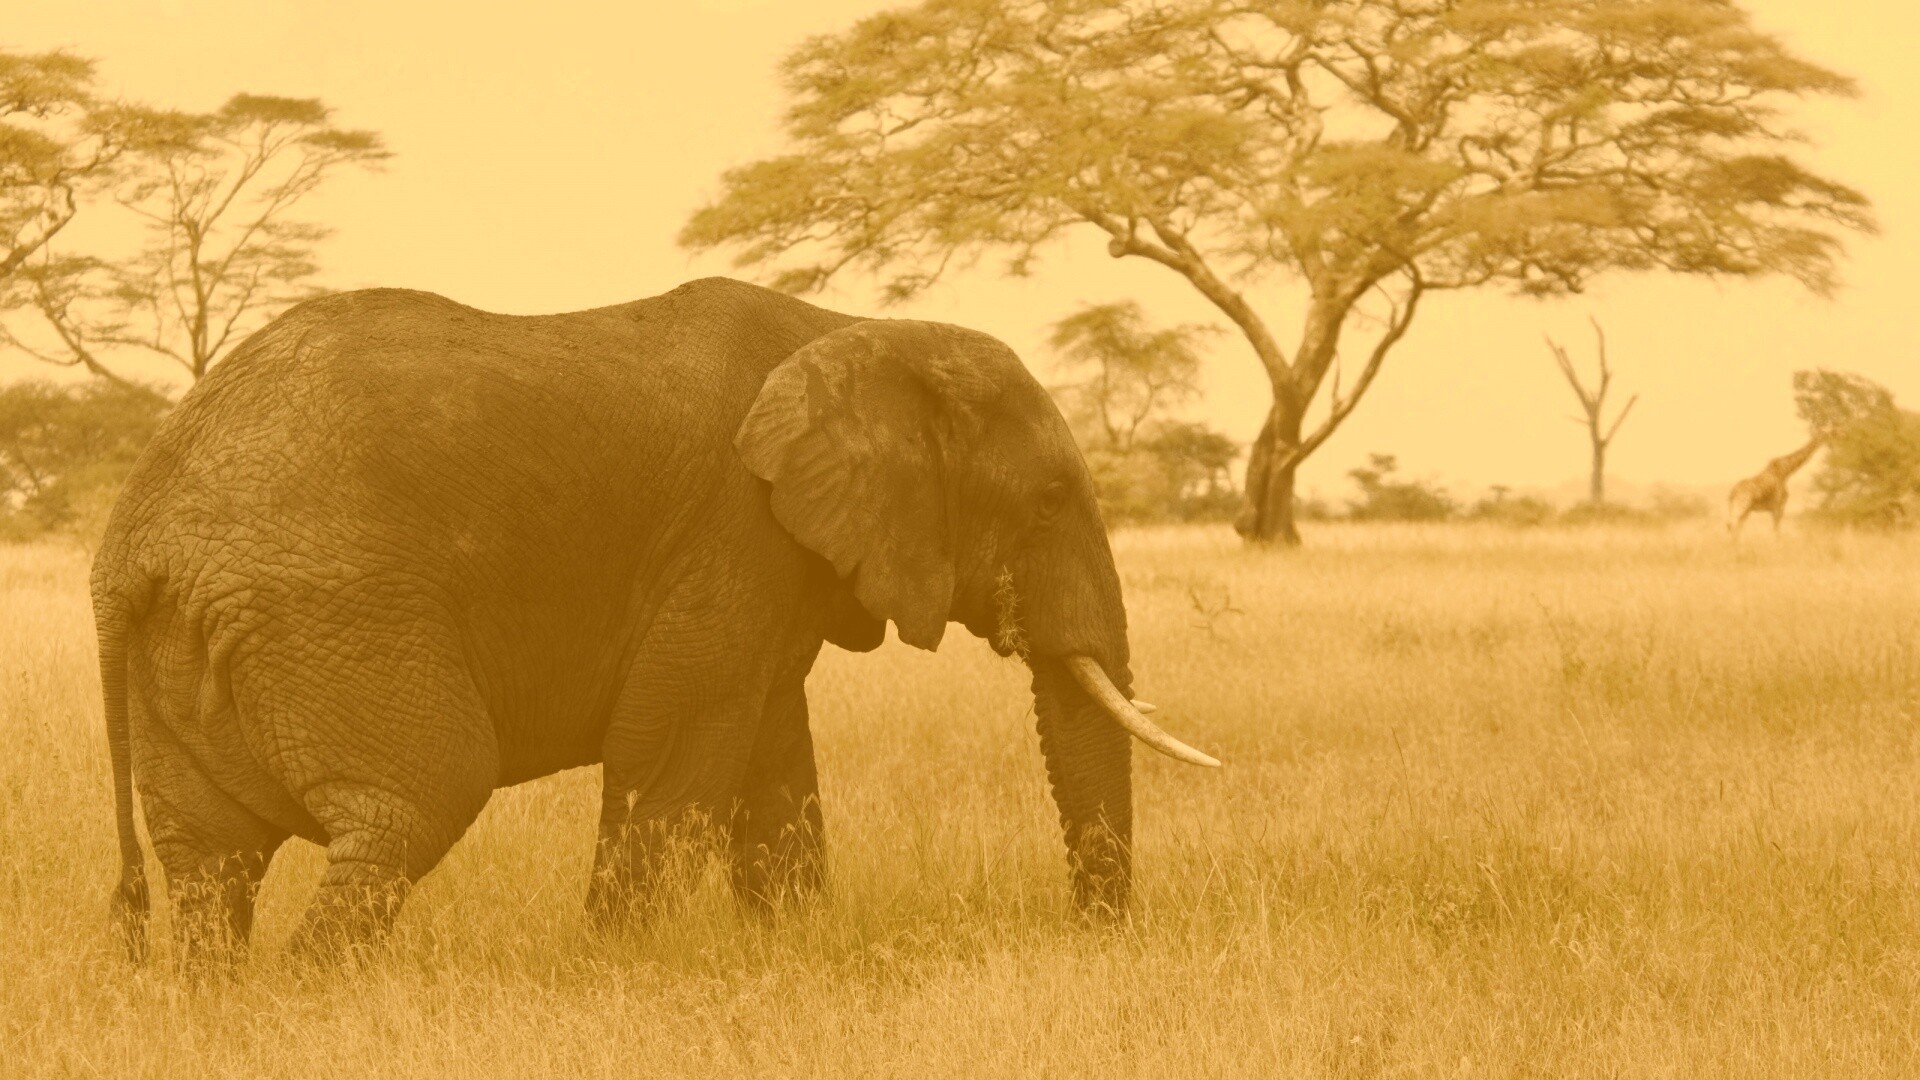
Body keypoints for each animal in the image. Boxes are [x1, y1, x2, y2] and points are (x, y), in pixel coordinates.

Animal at [92, 276, 1218, 965]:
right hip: (329, 614)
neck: (852, 330)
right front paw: (613, 970)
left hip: (196, 646)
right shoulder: (733, 531)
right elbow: (676, 746)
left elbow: (770, 760)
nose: (1094, 938)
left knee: (211, 861)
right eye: (1047, 502)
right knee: (414, 802)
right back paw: (316, 998)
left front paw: (790, 953)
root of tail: (131, 536)